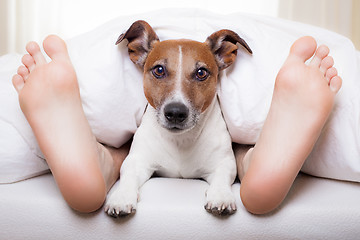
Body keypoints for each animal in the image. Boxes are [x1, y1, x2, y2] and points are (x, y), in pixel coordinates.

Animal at [104, 20, 252, 218]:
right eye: (159, 70)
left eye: (201, 73)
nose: (175, 112)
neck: (181, 141)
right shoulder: (137, 161)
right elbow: (127, 175)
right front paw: (121, 196)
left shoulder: (224, 162)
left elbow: (222, 176)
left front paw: (221, 195)